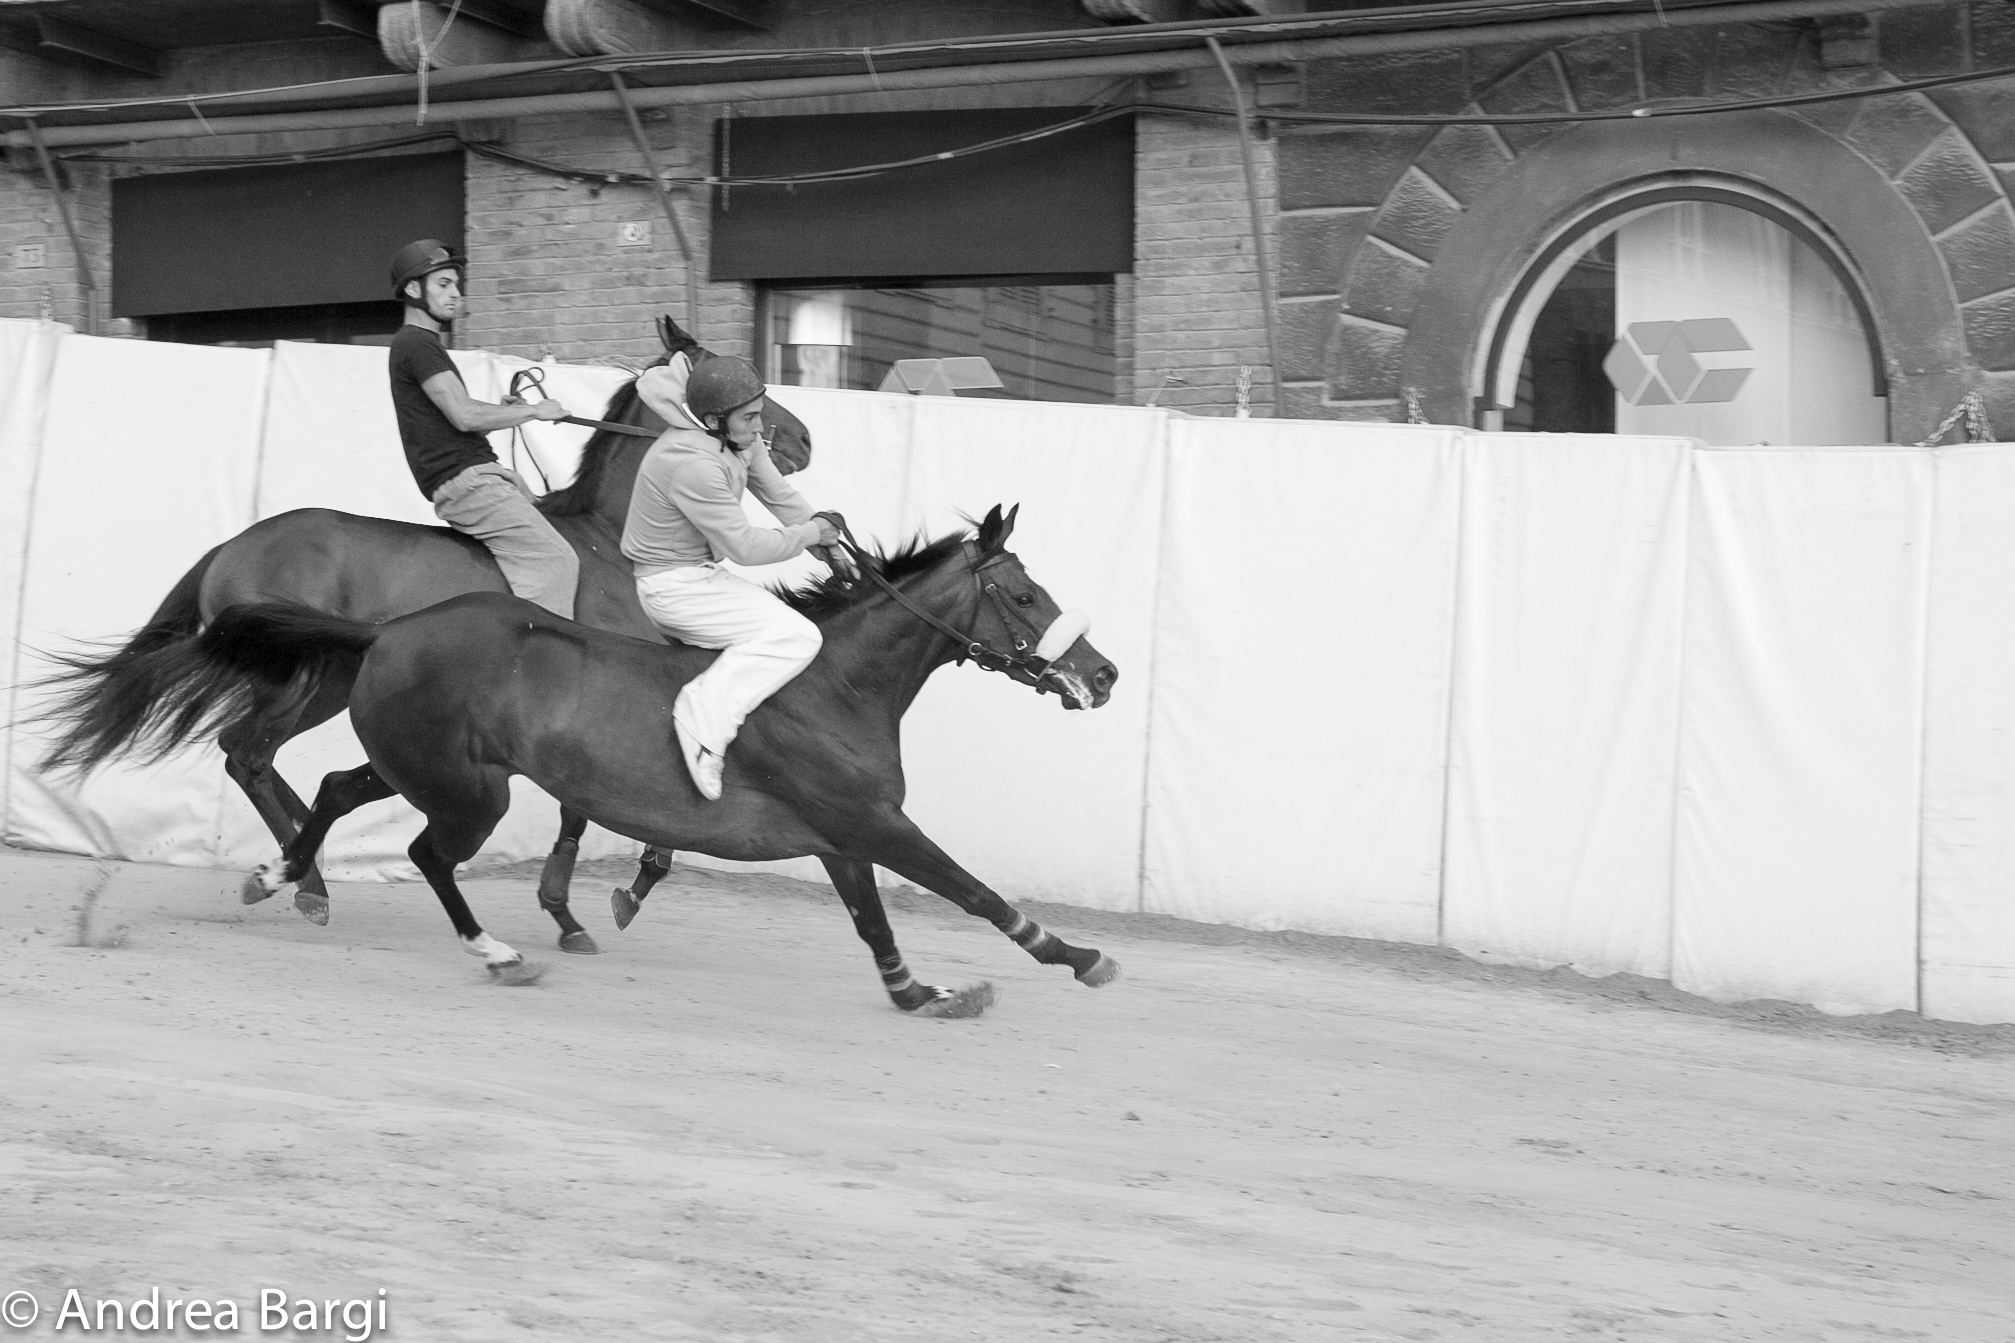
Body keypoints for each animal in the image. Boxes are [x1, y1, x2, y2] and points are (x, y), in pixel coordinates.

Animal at [29, 316, 801, 954]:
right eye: (722, 368)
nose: (799, 437)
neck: (609, 542)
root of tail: (232, 546)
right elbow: (588, 812)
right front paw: (572, 908)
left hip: (328, 683)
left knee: (252, 756)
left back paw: (303, 864)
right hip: (314, 680)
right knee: (247, 753)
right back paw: (308, 879)